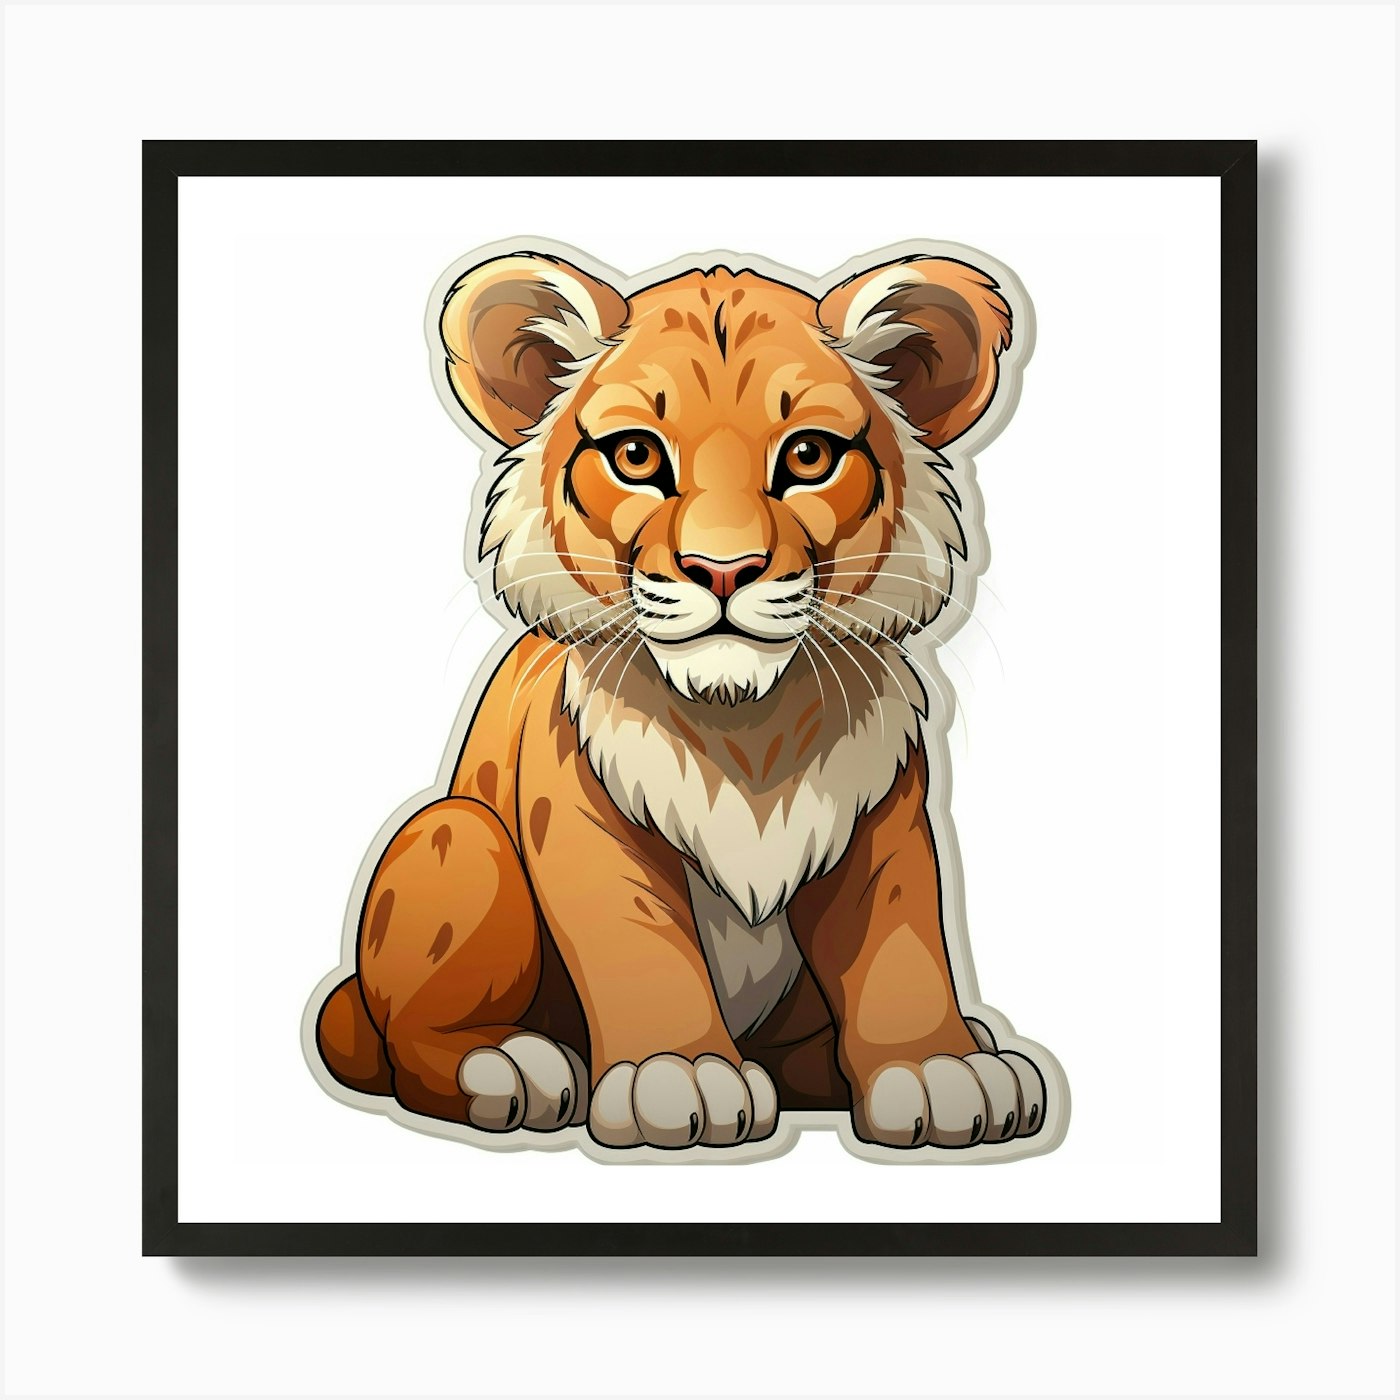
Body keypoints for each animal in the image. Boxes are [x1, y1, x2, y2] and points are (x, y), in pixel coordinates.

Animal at [312, 242, 1049, 1154]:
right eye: (636, 457)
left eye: (808, 456)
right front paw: (680, 1077)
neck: (746, 724)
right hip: (458, 833)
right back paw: (510, 1067)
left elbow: (902, 941)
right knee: (405, 1033)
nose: (722, 569)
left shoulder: (885, 821)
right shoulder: (581, 814)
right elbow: (640, 940)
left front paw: (938, 1069)